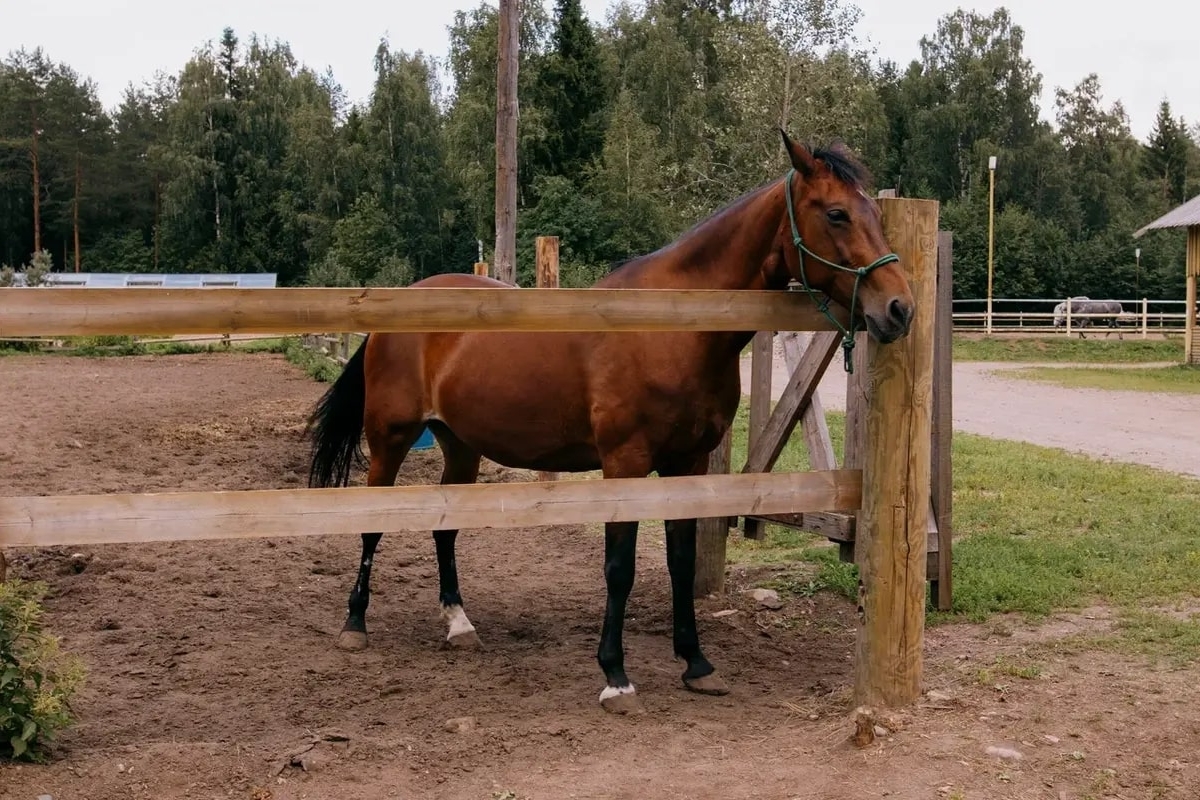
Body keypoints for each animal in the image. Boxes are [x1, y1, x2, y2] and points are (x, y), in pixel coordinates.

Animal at [304, 131, 912, 714]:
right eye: (836, 213)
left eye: (875, 213)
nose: (900, 308)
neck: (673, 326)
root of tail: (398, 307)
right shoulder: (625, 464)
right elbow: (619, 568)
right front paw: (616, 677)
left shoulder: (687, 465)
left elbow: (681, 560)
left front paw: (696, 664)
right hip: (391, 437)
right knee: (372, 523)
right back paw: (355, 624)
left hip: (460, 445)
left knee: (444, 526)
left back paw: (459, 623)